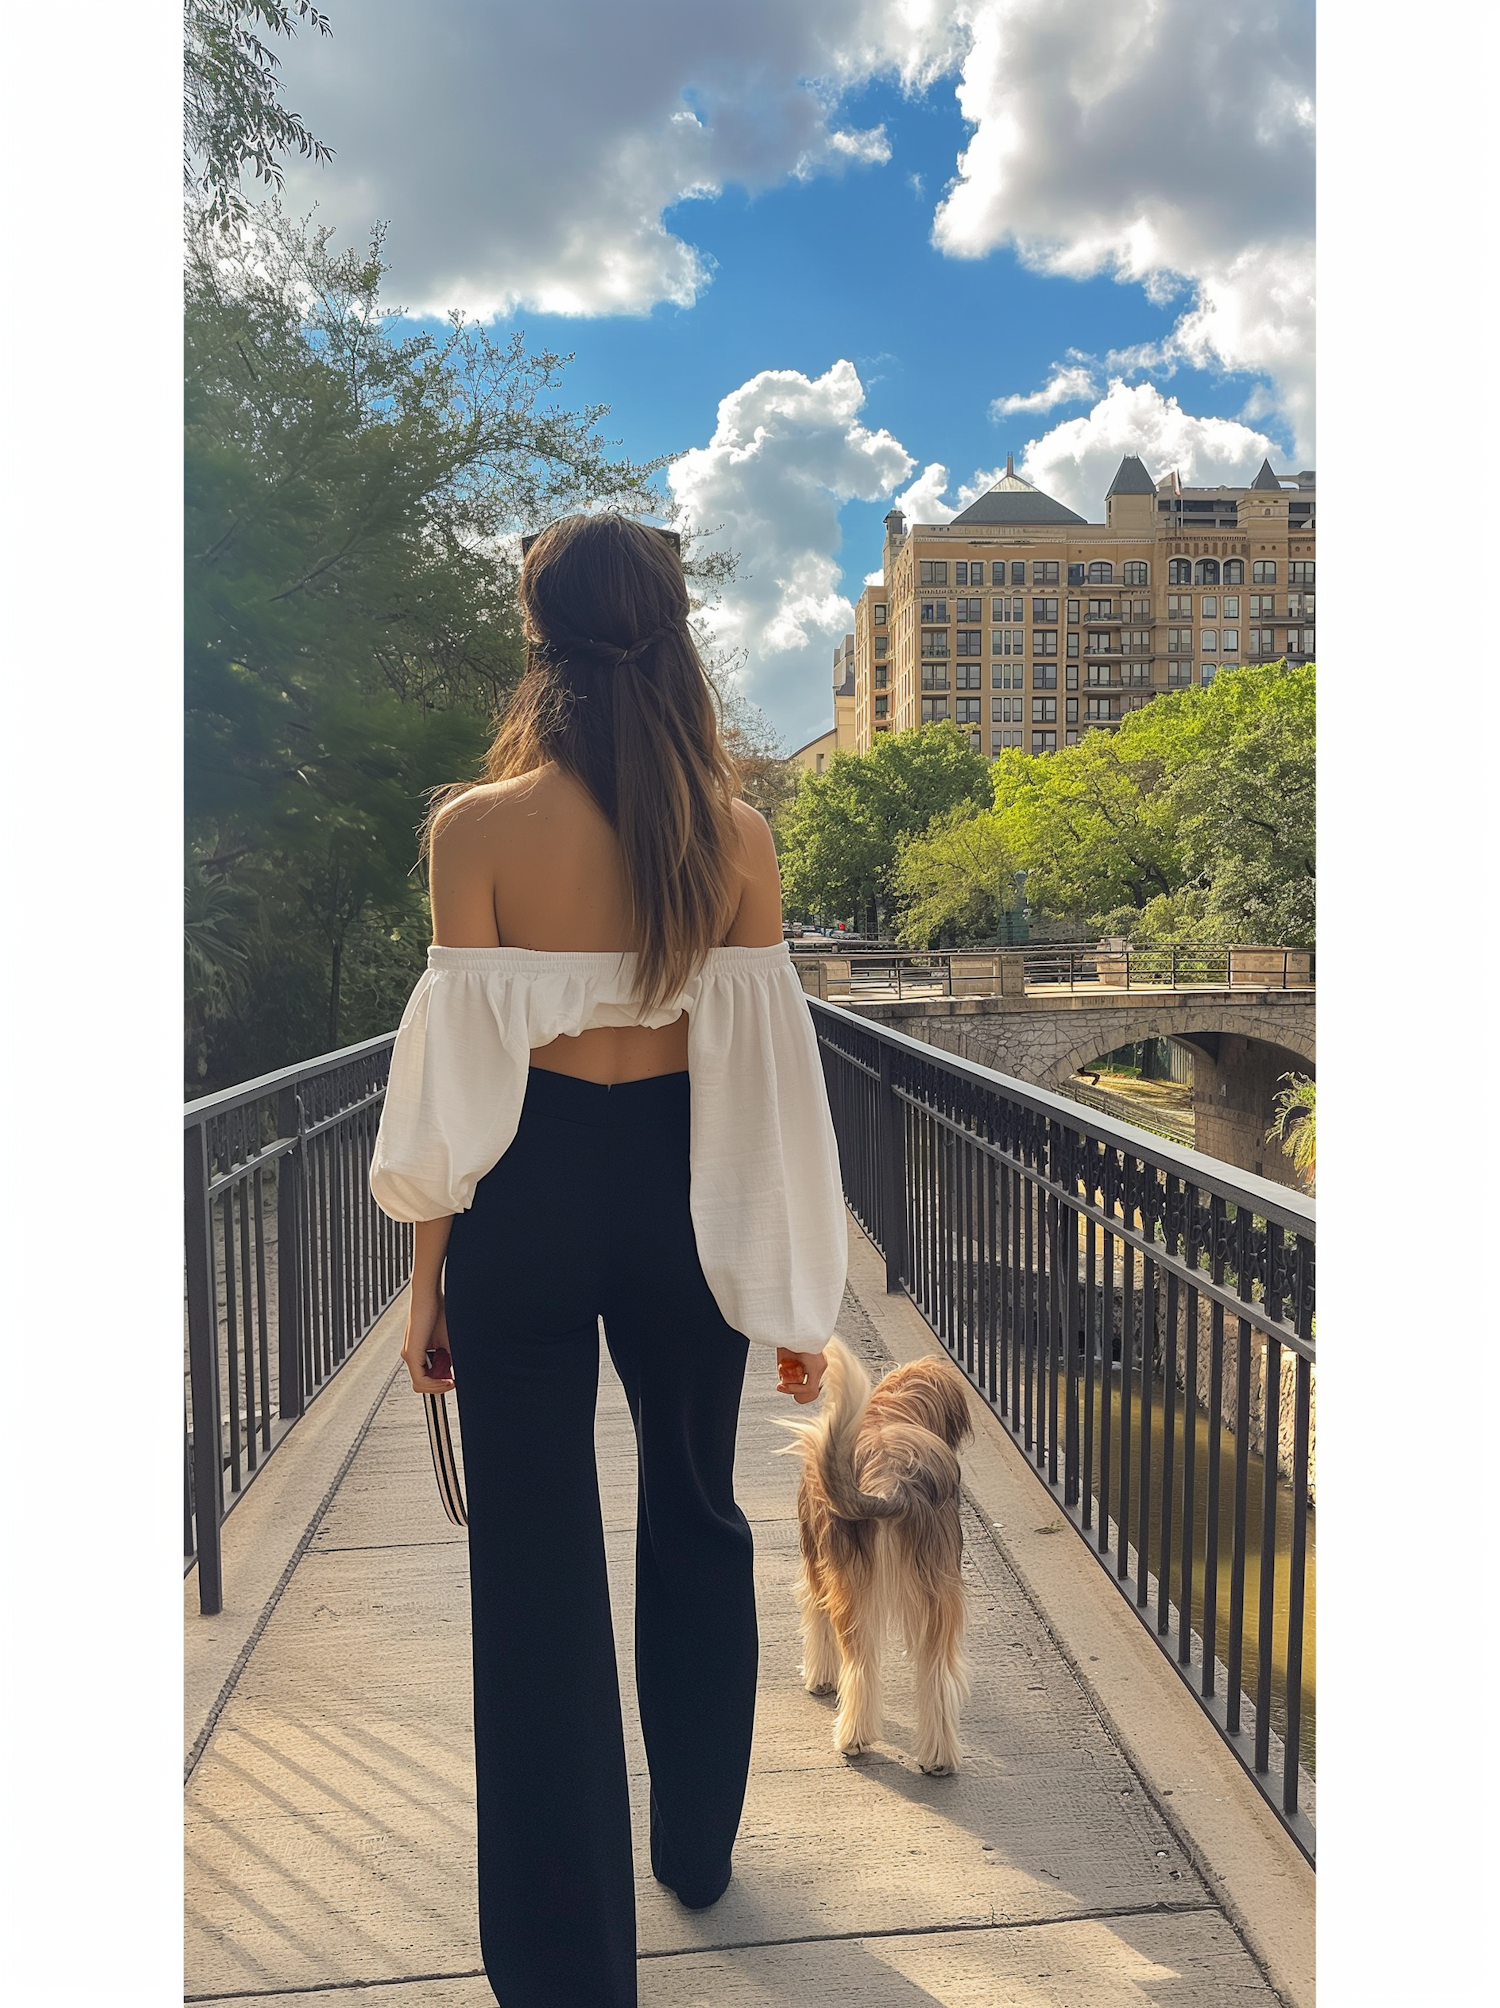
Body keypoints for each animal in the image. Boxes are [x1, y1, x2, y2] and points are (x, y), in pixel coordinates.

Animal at [779, 1333, 979, 1775]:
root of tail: (892, 1482)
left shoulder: (816, 1559)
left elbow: (816, 1620)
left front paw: (819, 1676)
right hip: (937, 1583)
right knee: (937, 1673)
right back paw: (938, 1758)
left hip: (849, 1578)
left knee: (860, 1663)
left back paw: (852, 1737)